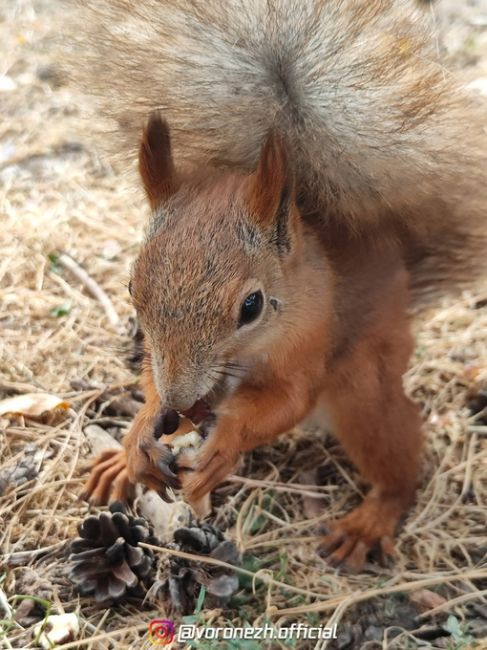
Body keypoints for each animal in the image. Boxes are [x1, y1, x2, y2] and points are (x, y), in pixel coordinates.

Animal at [73, 0, 487, 568]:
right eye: (133, 288)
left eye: (252, 306)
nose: (179, 402)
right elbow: (151, 381)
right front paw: (138, 436)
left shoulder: (307, 346)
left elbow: (287, 403)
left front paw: (223, 444)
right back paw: (121, 458)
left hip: (363, 390)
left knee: (400, 460)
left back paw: (372, 519)